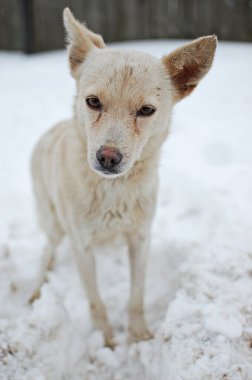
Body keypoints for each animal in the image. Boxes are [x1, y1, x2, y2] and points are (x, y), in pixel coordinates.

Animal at [30, 8, 217, 348]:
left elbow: (136, 296)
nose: (107, 157)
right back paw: (38, 288)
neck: (113, 193)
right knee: (47, 250)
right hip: (53, 222)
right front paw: (105, 341)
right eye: (93, 102)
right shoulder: (82, 246)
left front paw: (139, 336)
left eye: (146, 110)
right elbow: (96, 301)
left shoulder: (140, 240)